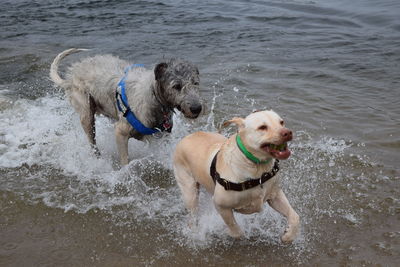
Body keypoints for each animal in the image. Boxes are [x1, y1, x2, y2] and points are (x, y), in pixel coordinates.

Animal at [50, 48, 202, 165]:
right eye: (176, 86)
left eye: (196, 83)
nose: (197, 109)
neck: (153, 96)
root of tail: (71, 75)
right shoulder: (121, 132)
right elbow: (125, 160)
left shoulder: (161, 135)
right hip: (85, 111)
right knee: (91, 138)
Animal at [173, 110, 298, 244]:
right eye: (262, 127)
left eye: (281, 122)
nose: (287, 132)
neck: (256, 167)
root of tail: (187, 137)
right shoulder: (221, 205)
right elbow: (236, 230)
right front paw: (229, 233)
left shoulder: (275, 196)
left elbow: (295, 216)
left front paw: (288, 235)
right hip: (189, 191)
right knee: (192, 213)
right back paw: (194, 231)